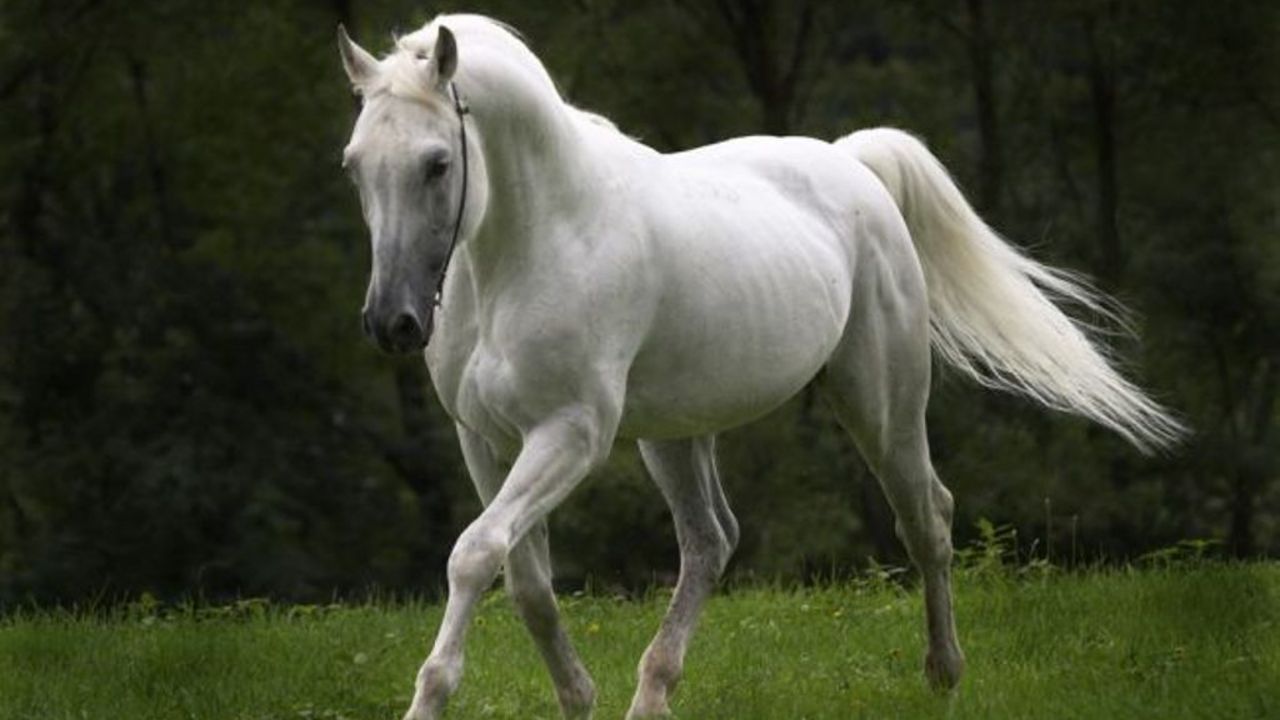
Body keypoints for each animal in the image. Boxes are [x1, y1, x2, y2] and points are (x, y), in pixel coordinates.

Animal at [336, 14, 1183, 720]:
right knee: (711, 541)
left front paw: (431, 697)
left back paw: (943, 677)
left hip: (880, 404)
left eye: (437, 164)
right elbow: (526, 581)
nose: (391, 323)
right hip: (675, 433)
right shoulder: (484, 440)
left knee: (926, 519)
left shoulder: (569, 435)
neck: (536, 241)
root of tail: (851, 163)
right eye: (354, 166)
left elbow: (475, 555)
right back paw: (651, 696)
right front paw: (577, 699)